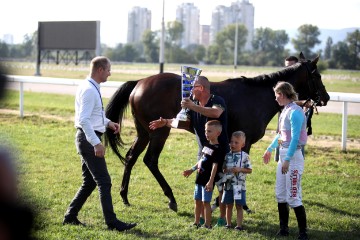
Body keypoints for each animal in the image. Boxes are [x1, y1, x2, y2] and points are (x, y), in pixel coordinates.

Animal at [104, 52, 330, 212]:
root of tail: (139, 82)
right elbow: (238, 170)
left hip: (144, 132)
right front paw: (240, 204)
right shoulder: (244, 142)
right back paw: (171, 198)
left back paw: (124, 196)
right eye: (318, 75)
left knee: (131, 157)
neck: (257, 96)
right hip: (160, 132)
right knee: (150, 160)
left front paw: (216, 198)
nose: (326, 97)